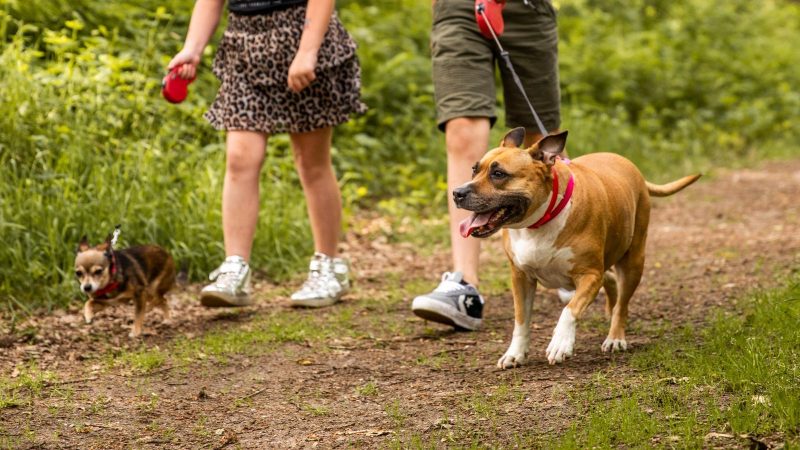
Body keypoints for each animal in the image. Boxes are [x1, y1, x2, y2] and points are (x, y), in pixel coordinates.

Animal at [456, 128, 700, 368]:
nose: (457, 193)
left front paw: (560, 342)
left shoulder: (589, 275)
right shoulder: (521, 278)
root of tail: (629, 165)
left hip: (633, 262)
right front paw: (515, 353)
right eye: (474, 169)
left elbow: (570, 310)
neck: (540, 221)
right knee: (610, 280)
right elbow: (521, 320)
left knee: (622, 303)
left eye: (498, 174)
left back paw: (615, 337)